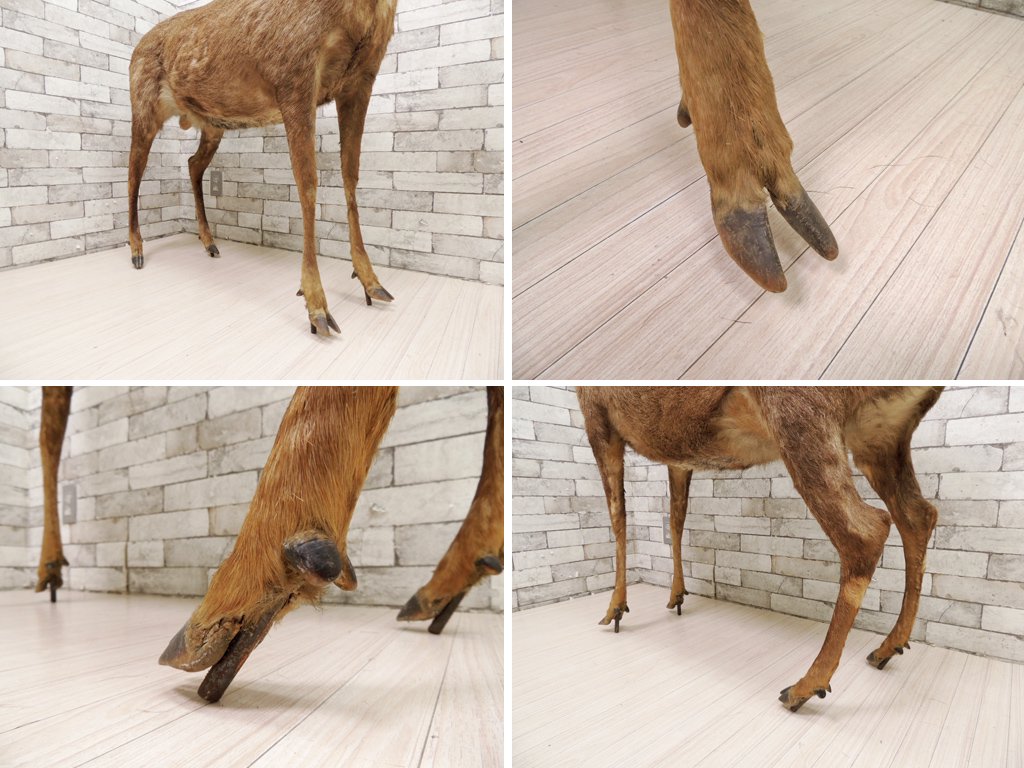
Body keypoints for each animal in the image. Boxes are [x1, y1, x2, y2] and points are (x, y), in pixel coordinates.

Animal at [128, 0, 398, 336]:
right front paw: (316, 306)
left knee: (192, 164)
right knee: (133, 171)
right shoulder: (294, 73)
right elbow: (308, 183)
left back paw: (209, 242)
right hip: (143, 104)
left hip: (213, 123)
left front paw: (371, 282)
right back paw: (136, 250)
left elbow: (351, 176)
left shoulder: (362, 78)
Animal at [576, 386, 942, 712]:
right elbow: (676, 515)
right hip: (881, 433)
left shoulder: (594, 410)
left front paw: (615, 610)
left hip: (801, 413)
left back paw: (804, 687)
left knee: (866, 530)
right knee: (919, 515)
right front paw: (676, 595)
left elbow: (618, 514)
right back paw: (888, 648)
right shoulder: (678, 453)